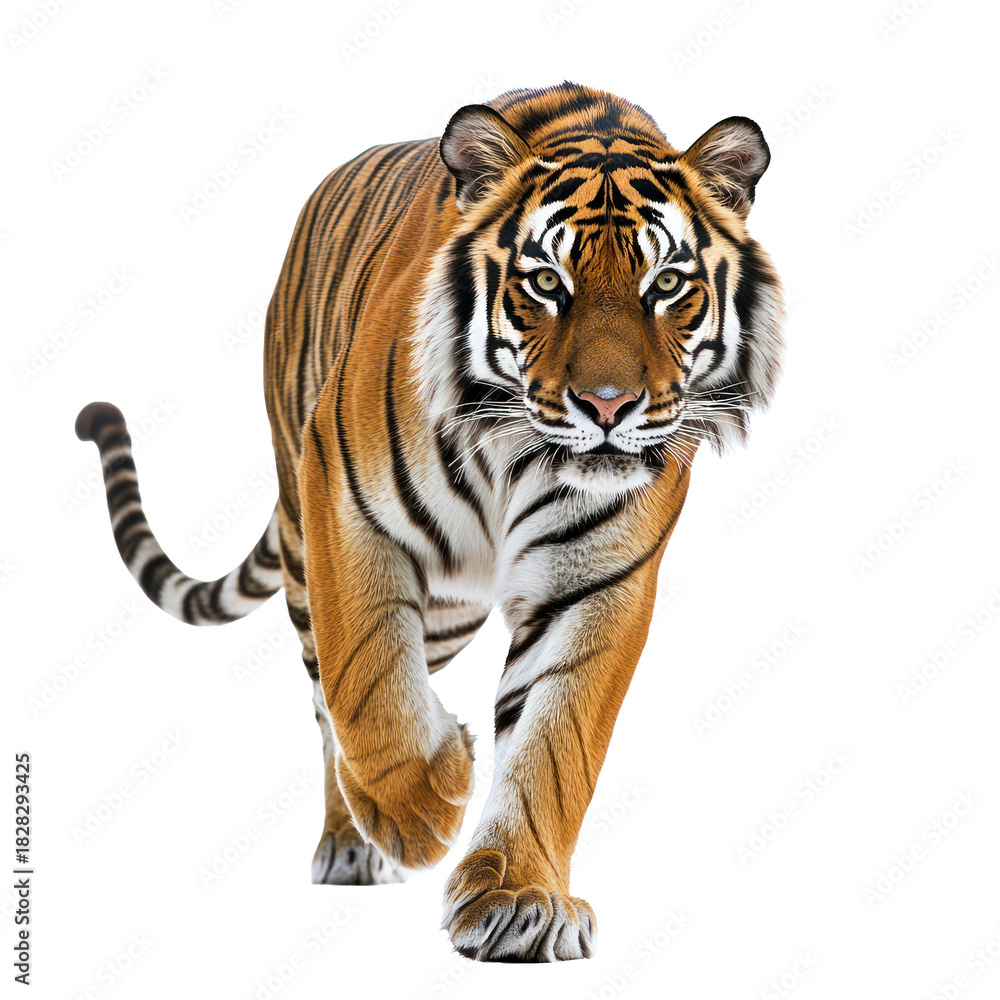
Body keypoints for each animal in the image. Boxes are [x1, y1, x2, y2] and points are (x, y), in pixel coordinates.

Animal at [75, 81, 783, 962]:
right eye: (545, 283)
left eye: (666, 285)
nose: (608, 406)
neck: (519, 453)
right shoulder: (347, 507)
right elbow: (366, 680)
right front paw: (421, 807)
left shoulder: (595, 582)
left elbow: (556, 742)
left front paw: (518, 898)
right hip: (311, 543)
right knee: (329, 695)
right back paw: (354, 839)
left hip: (446, 612)